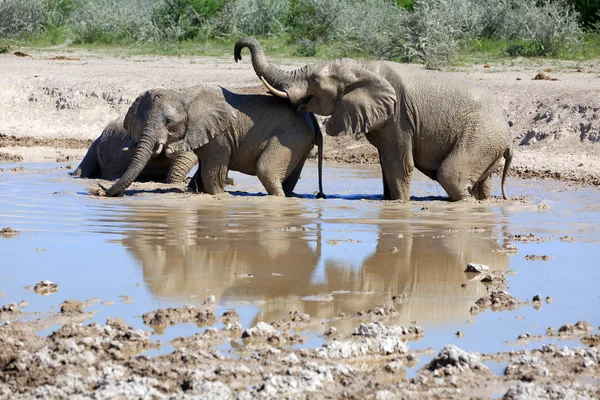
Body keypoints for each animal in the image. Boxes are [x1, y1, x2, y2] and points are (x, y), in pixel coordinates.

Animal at [105, 85, 326, 198]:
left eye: (169, 122)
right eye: (143, 121)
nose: (101, 191)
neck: (185, 95)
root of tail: (313, 118)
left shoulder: (219, 135)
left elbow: (213, 171)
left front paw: (219, 197)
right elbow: (203, 170)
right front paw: (195, 191)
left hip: (291, 136)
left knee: (266, 169)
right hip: (300, 140)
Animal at [236, 36, 516, 203]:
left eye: (314, 81)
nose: (238, 54)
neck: (363, 67)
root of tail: (508, 133)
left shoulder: (399, 116)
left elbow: (398, 162)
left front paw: (400, 204)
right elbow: (386, 164)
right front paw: (389, 203)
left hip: (481, 135)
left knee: (451, 176)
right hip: (487, 143)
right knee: (481, 182)